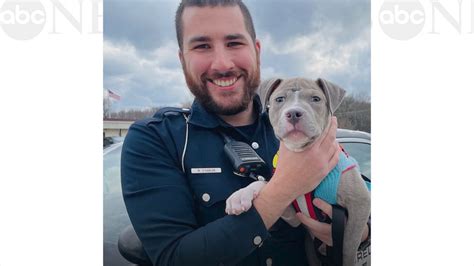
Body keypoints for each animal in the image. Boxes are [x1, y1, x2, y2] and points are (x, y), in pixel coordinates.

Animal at [225, 77, 370, 266]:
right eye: (279, 99)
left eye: (316, 99)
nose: (293, 113)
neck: (299, 150)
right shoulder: (293, 215)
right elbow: (265, 184)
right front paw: (241, 195)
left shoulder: (360, 202)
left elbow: (348, 245)